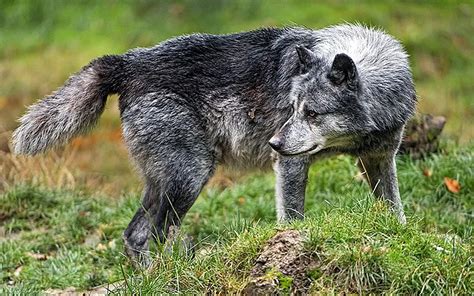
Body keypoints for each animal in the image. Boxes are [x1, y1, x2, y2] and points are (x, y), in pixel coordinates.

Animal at [12, 24, 414, 264]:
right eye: (292, 108)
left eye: (312, 113)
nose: (273, 142)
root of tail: (128, 62)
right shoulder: (291, 165)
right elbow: (293, 219)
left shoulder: (380, 158)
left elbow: (394, 209)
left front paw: (398, 238)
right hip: (191, 176)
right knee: (157, 233)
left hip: (166, 181)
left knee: (134, 234)